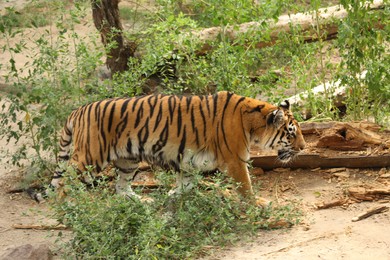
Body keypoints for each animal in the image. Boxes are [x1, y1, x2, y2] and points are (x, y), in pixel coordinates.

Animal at [43, 91, 304, 203]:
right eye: (291, 133)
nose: (303, 147)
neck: (252, 122)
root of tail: (77, 110)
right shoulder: (235, 161)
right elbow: (246, 187)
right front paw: (258, 205)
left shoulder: (189, 160)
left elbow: (185, 183)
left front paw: (173, 196)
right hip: (90, 158)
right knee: (64, 184)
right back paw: (70, 209)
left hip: (128, 161)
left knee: (120, 187)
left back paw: (141, 202)